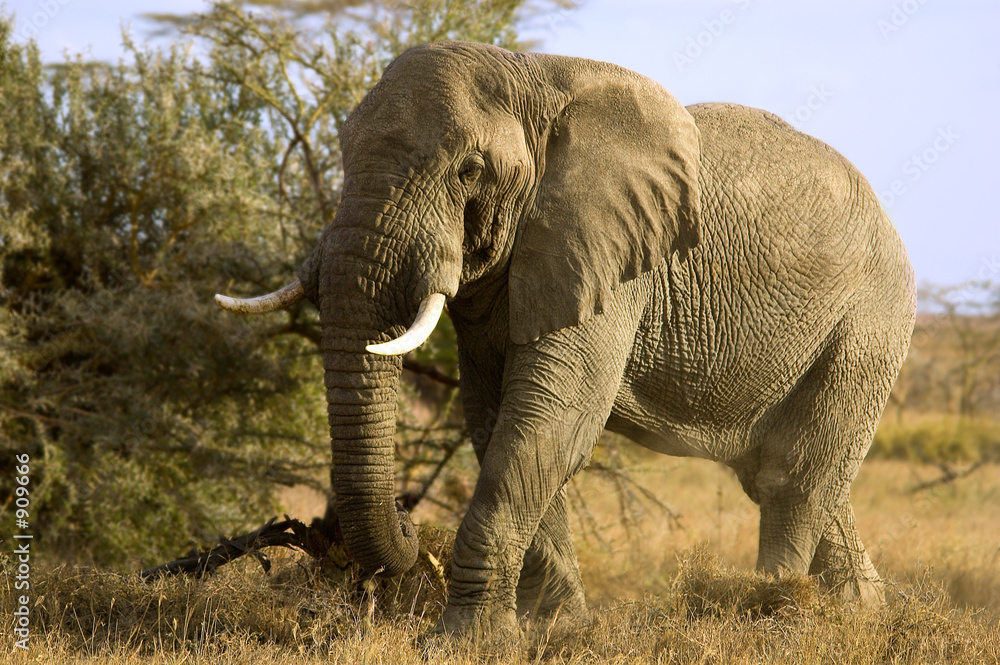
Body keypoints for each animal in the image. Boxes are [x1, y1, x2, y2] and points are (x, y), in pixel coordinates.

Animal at [215, 41, 916, 641]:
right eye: (342, 152)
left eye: (471, 169)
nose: (413, 535)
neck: (532, 78)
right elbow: (498, 418)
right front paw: (556, 630)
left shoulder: (613, 258)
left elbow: (551, 417)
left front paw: (468, 640)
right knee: (806, 480)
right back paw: (859, 619)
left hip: (868, 324)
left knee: (790, 479)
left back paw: (774, 617)